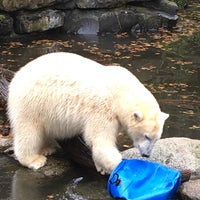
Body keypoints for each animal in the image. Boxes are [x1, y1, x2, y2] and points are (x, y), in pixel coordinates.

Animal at [7, 52, 168, 174]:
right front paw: (117, 166)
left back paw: (47, 148)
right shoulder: (102, 109)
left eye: (156, 138)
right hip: (33, 102)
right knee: (29, 131)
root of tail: (16, 77)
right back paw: (34, 160)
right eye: (146, 136)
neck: (121, 93)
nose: (146, 154)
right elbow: (99, 140)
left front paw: (101, 168)